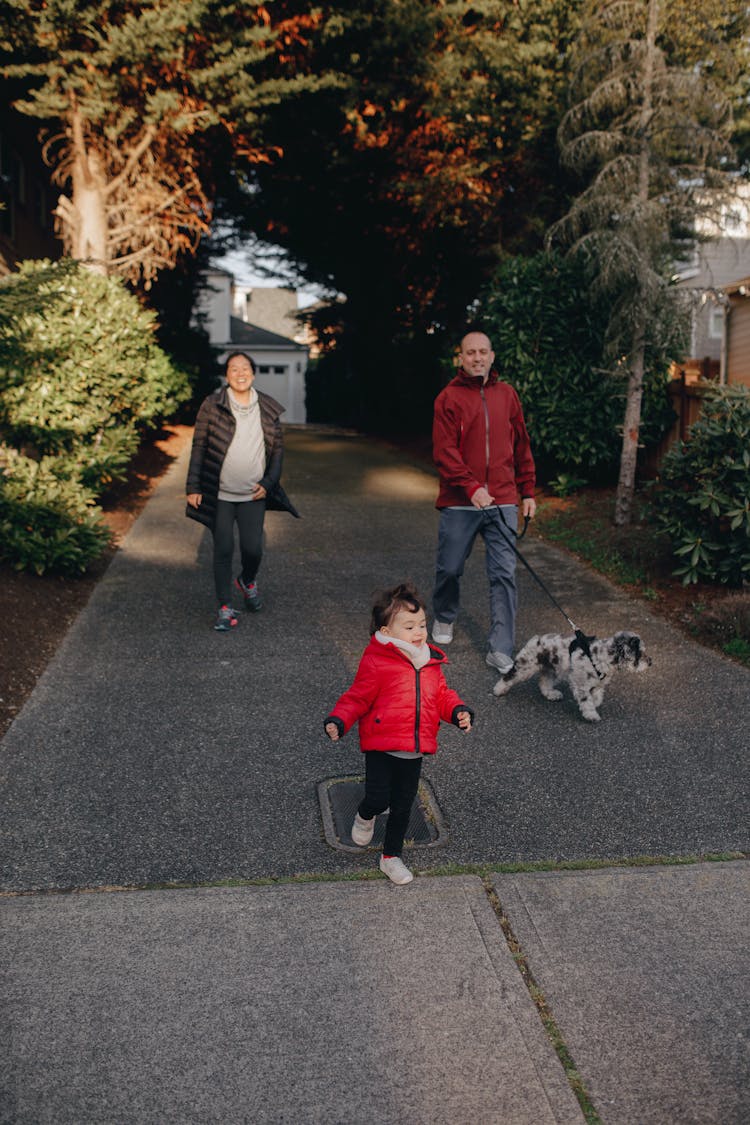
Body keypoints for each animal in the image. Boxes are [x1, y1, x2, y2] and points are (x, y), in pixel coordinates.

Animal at [492, 634, 652, 720]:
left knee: (544, 682)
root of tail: (535, 639)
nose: (651, 662)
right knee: (510, 676)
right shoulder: (581, 684)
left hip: (551, 669)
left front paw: (594, 705)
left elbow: (597, 698)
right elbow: (586, 701)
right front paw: (591, 714)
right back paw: (498, 690)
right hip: (526, 667)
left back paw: (551, 694)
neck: (601, 656)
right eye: (640, 653)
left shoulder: (597, 685)